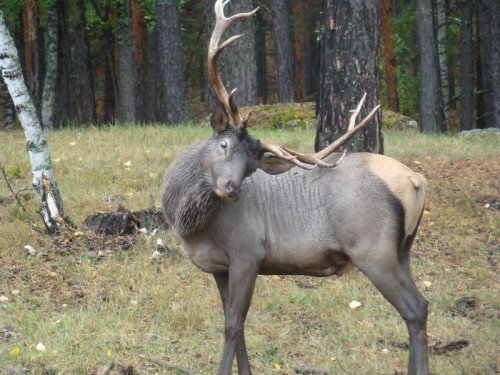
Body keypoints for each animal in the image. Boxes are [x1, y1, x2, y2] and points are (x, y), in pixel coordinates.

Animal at [161, 1, 430, 374]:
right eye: (224, 145)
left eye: (251, 167)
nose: (231, 188)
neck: (192, 226)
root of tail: (416, 181)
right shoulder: (220, 267)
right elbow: (238, 328)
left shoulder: (248, 251)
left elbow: (232, 325)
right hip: (403, 249)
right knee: (422, 306)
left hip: (373, 249)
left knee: (416, 308)